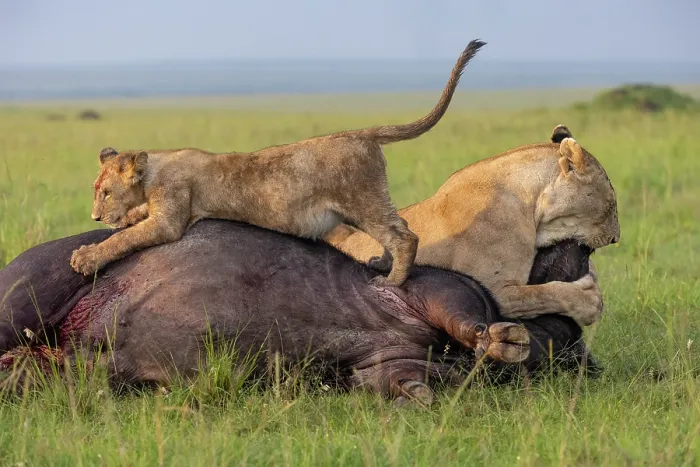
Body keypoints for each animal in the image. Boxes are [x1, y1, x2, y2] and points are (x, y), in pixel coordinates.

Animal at [70, 40, 486, 287]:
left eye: (106, 193)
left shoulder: (171, 218)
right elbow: (132, 223)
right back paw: (383, 265)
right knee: (397, 230)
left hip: (361, 200)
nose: (94, 216)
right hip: (365, 203)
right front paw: (123, 220)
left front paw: (87, 256)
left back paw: (391, 281)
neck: (153, 170)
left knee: (405, 235)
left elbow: (125, 238)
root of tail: (361, 133)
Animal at [324, 125, 620, 326]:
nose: (616, 239)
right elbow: (547, 293)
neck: (530, 202)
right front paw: (591, 302)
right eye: (611, 204)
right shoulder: (498, 291)